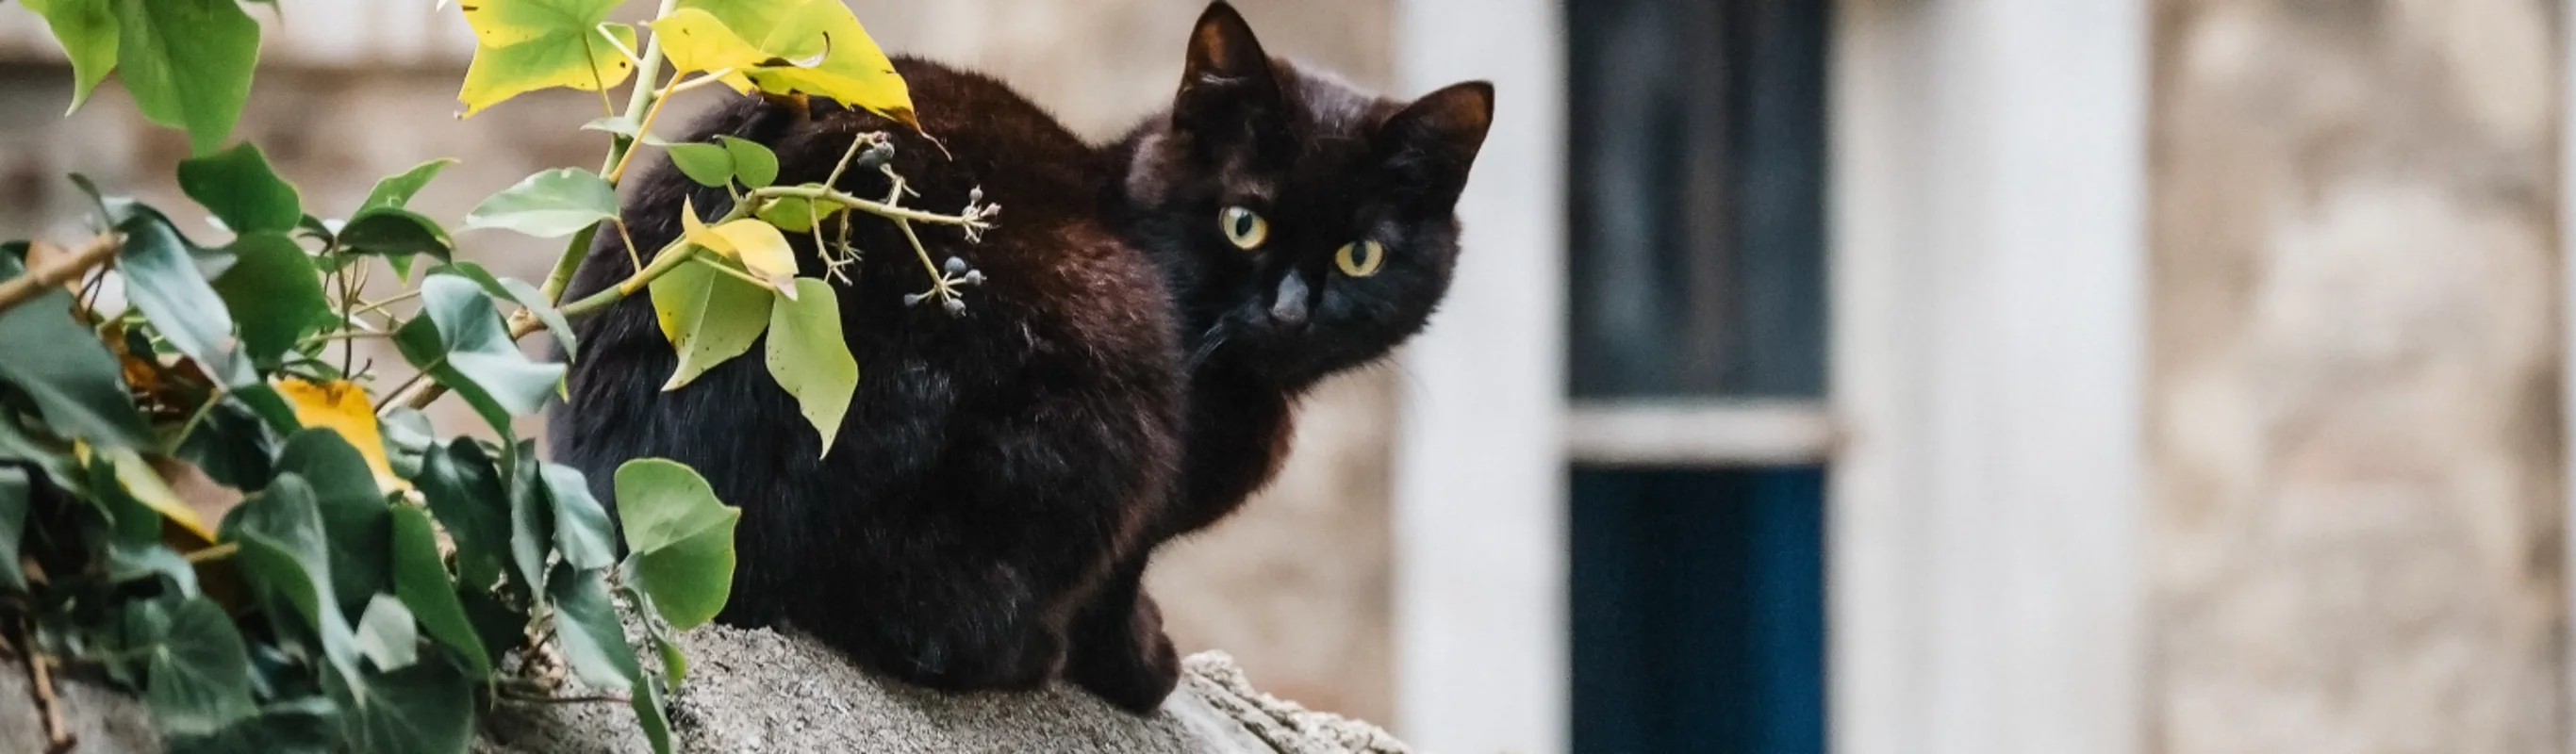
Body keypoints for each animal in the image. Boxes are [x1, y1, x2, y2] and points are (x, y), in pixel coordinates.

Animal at [553, 1, 1504, 710]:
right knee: (920, 622)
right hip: (1106, 353)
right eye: (1246, 222)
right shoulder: (1144, 505)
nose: (1292, 312)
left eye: (1361, 254)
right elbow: (1117, 583)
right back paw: (1033, 652)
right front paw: (1140, 667)